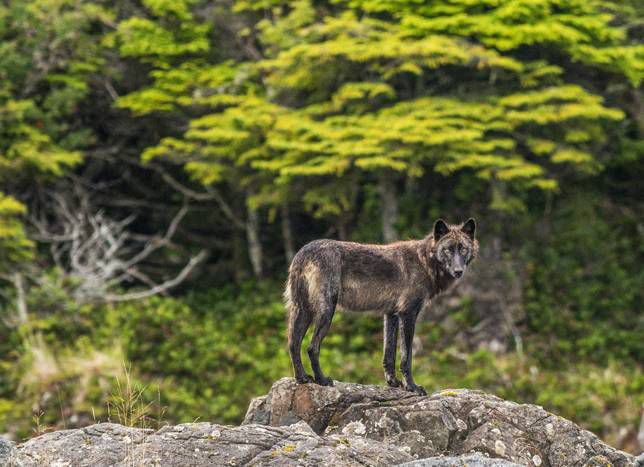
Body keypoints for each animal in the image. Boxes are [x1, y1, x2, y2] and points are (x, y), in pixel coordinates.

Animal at [284, 219, 476, 394]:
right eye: (448, 249)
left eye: (463, 249)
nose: (458, 271)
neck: (425, 261)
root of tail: (304, 252)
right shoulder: (408, 314)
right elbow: (407, 358)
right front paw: (412, 387)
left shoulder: (391, 314)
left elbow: (388, 354)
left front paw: (393, 383)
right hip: (326, 312)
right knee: (312, 347)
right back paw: (322, 380)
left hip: (303, 311)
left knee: (293, 344)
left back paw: (302, 378)